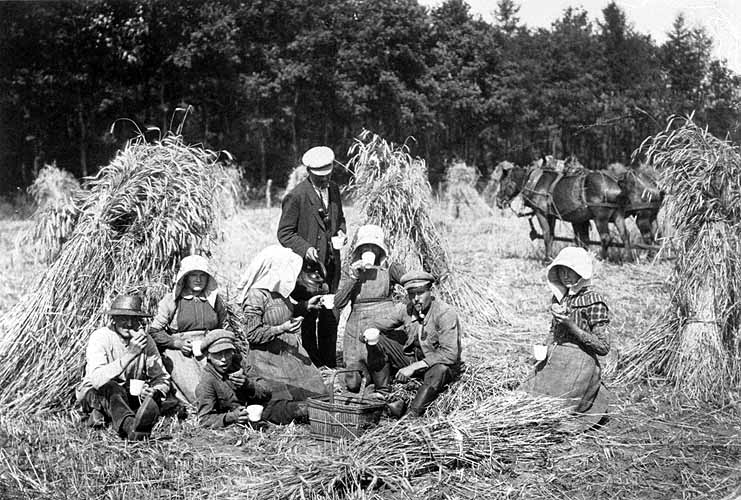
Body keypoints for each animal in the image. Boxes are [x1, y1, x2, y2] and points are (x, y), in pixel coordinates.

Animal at [498, 164, 632, 264]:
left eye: (503, 183)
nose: (499, 202)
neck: (533, 182)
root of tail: (616, 188)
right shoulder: (551, 216)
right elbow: (552, 236)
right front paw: (550, 257)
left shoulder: (541, 213)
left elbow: (546, 234)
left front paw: (547, 259)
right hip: (618, 216)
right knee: (625, 235)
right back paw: (628, 259)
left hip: (600, 218)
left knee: (605, 238)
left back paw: (602, 259)